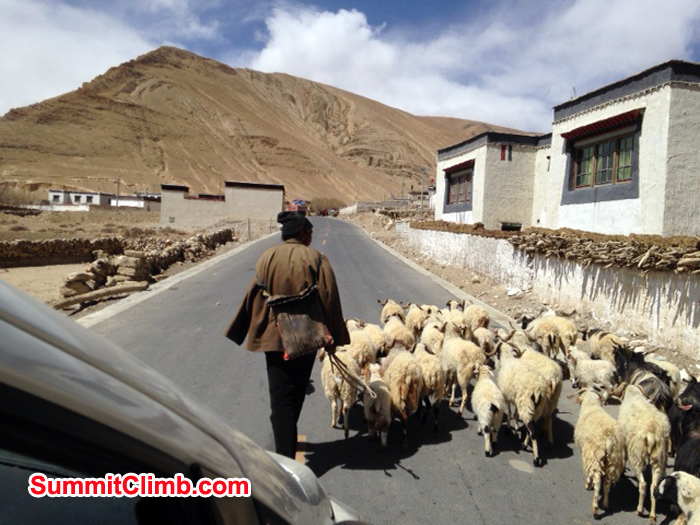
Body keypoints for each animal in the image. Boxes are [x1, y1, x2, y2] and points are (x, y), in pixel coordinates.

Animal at [573, 387, 626, 519]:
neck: (591, 406)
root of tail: (609, 440)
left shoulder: (587, 454)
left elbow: (589, 475)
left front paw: (588, 483)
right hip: (612, 460)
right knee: (607, 483)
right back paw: (606, 504)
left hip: (595, 458)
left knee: (597, 481)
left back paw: (595, 509)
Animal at [617, 383, 670, 522]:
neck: (633, 394)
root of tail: (651, 434)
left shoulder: (625, 442)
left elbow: (624, 457)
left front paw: (622, 472)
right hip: (658, 459)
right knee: (653, 487)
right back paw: (652, 515)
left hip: (637, 456)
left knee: (643, 484)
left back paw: (640, 510)